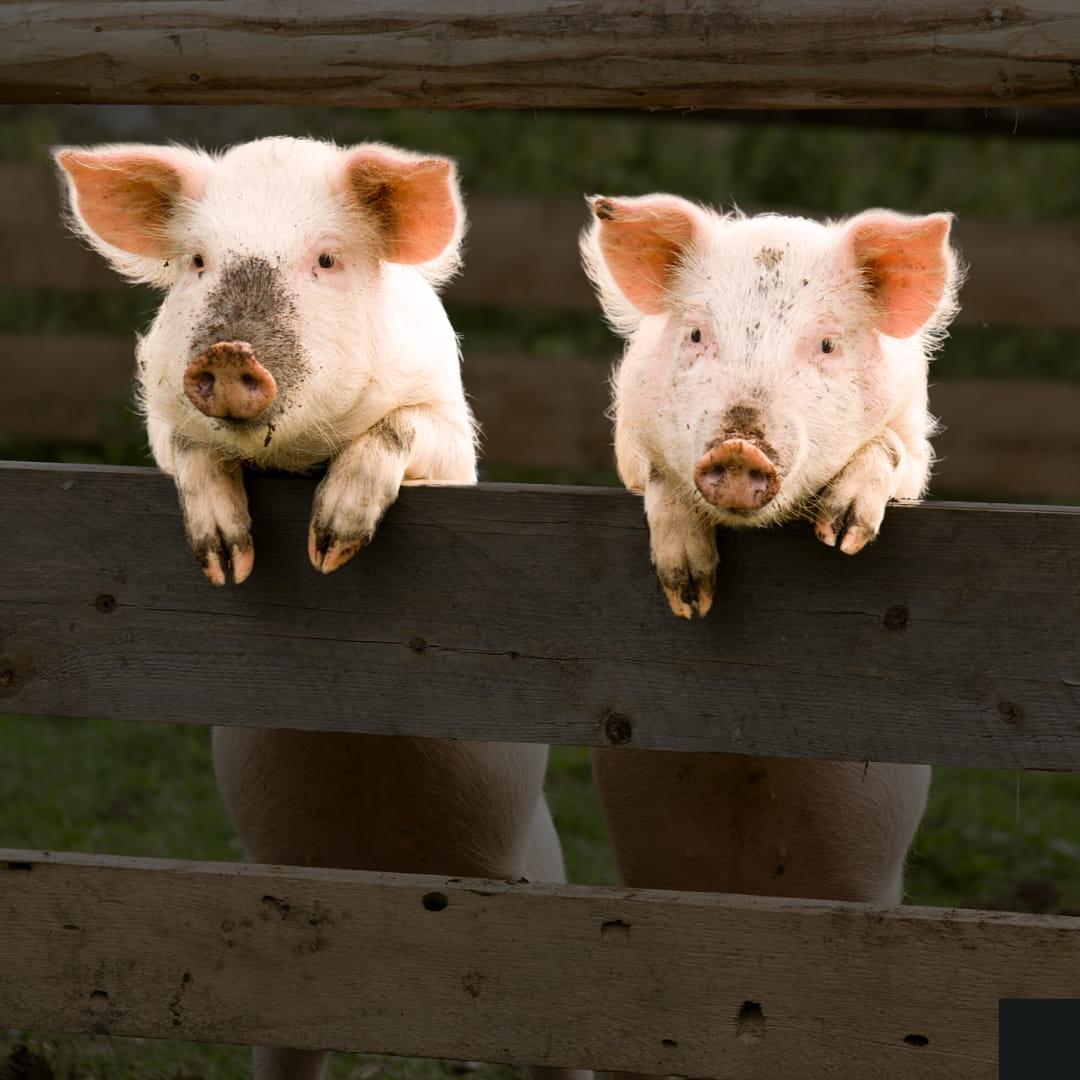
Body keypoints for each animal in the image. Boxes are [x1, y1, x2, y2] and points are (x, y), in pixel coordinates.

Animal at [54, 139, 587, 1080]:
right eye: (200, 262)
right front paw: (229, 561)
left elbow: (403, 431)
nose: (230, 351)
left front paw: (330, 546)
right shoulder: (160, 419)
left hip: (542, 884)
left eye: (328, 260)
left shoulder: (451, 430)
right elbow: (185, 446)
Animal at [583, 198, 954, 1075]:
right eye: (695, 335)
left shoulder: (914, 446)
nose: (739, 445)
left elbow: (889, 456)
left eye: (825, 344)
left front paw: (843, 534)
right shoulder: (630, 447)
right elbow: (657, 478)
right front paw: (690, 597)